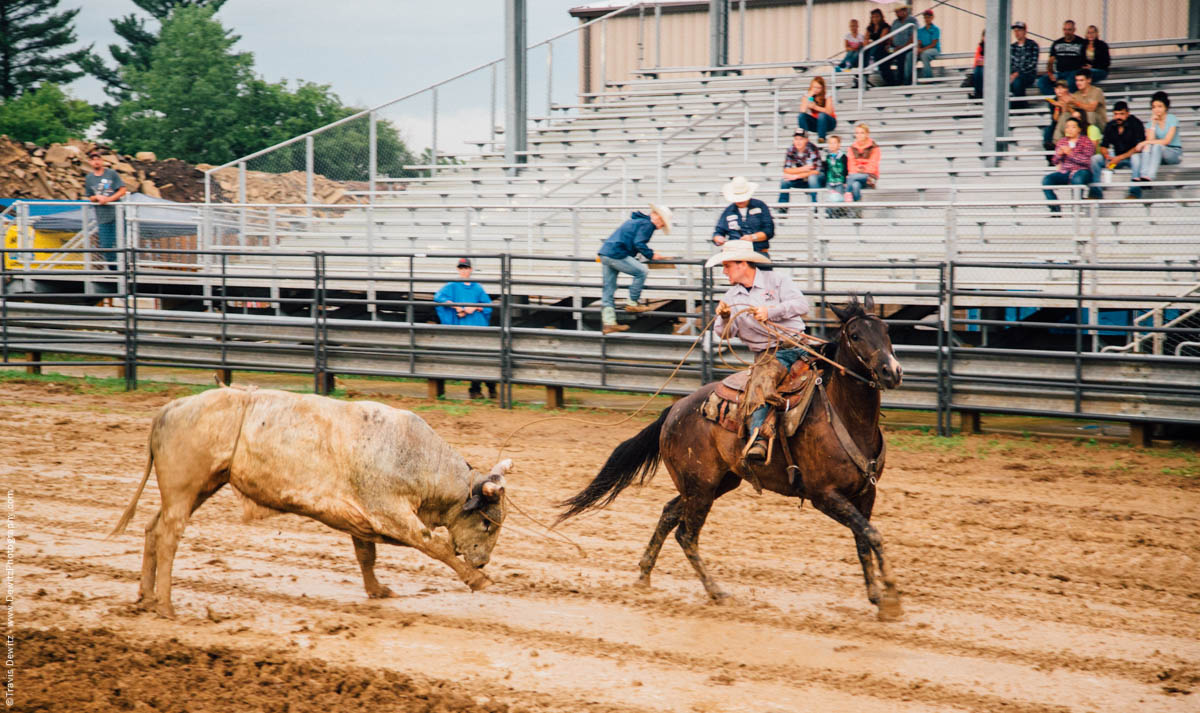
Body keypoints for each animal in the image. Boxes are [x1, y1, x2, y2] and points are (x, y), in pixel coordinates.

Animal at [108, 384, 511, 614]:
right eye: (487, 523)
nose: (484, 560)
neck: (415, 459)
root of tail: (172, 408)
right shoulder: (391, 514)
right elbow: (434, 545)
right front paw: (477, 580)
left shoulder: (360, 518)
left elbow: (366, 554)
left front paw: (377, 590)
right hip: (184, 488)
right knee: (168, 536)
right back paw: (165, 605)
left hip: (198, 488)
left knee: (153, 528)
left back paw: (146, 597)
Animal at [556, 294, 902, 614]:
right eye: (855, 334)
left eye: (886, 330)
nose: (892, 372)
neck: (844, 416)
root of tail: (673, 411)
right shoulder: (824, 495)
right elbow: (872, 534)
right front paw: (892, 597)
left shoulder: (865, 493)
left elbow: (863, 539)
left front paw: (877, 595)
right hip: (701, 486)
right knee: (686, 534)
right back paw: (716, 591)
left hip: (714, 483)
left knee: (668, 513)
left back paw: (644, 576)